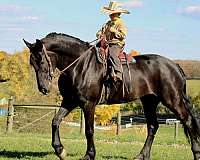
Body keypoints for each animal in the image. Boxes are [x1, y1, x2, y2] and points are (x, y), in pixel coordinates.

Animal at [23, 32, 200, 160]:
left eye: (42, 61)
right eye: (32, 63)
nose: (43, 88)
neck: (80, 65)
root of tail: (174, 65)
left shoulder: (88, 104)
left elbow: (89, 130)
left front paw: (89, 155)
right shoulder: (70, 101)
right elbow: (55, 121)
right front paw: (60, 150)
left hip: (173, 100)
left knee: (188, 122)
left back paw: (196, 153)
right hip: (149, 101)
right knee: (152, 126)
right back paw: (142, 155)